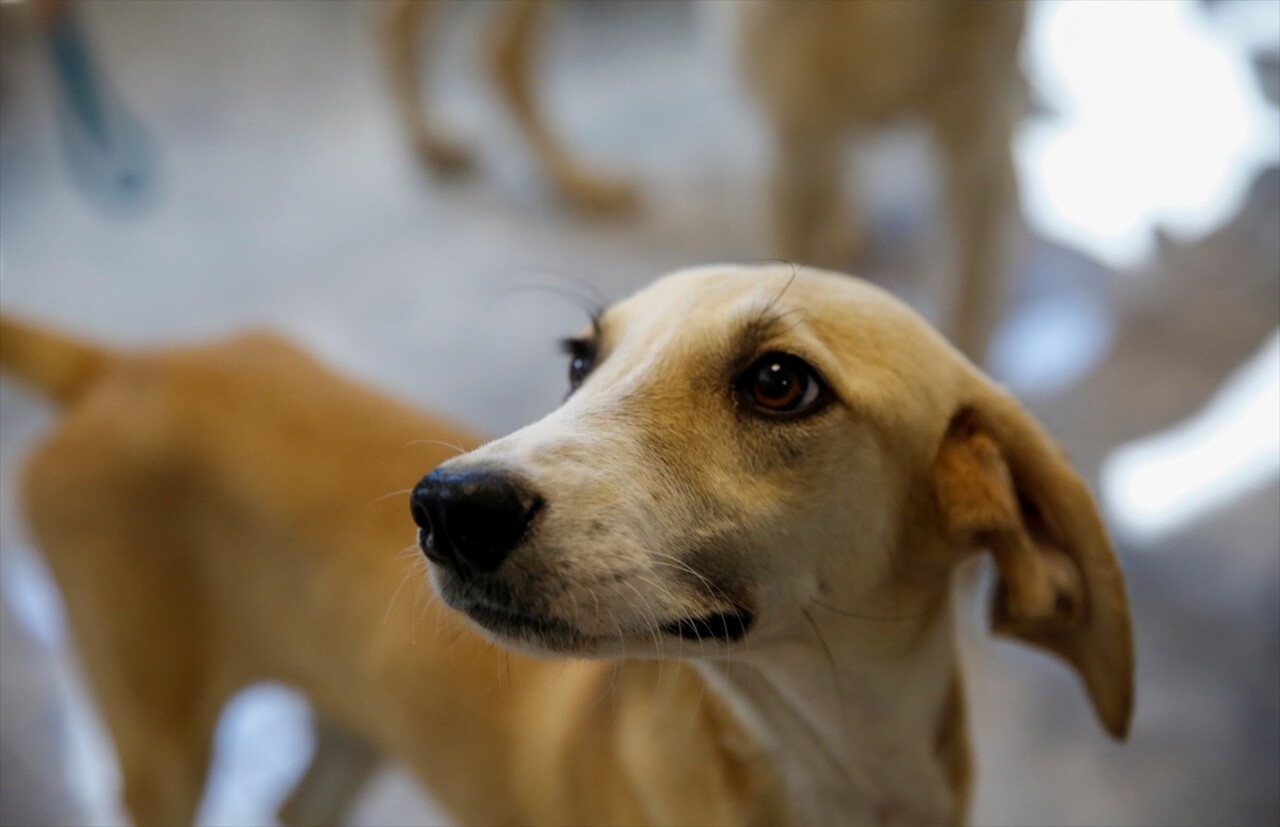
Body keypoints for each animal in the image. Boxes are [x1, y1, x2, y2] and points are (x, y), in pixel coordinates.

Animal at [2, 267, 1141, 827]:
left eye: (780, 382)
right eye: (580, 360)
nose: (445, 506)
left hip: (353, 715)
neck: (829, 762)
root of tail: (127, 364)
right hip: (158, 742)